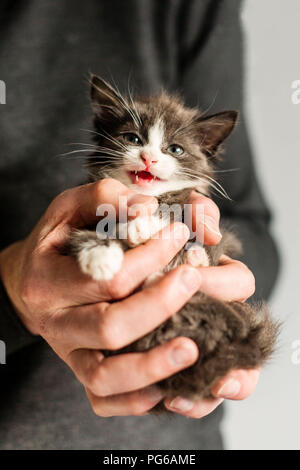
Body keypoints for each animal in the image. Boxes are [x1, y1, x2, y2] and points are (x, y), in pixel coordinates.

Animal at [66, 75, 278, 410]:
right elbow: (87, 233)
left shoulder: (208, 222)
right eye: (133, 139)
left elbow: (188, 225)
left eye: (175, 149)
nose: (149, 157)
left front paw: (144, 226)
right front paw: (101, 258)